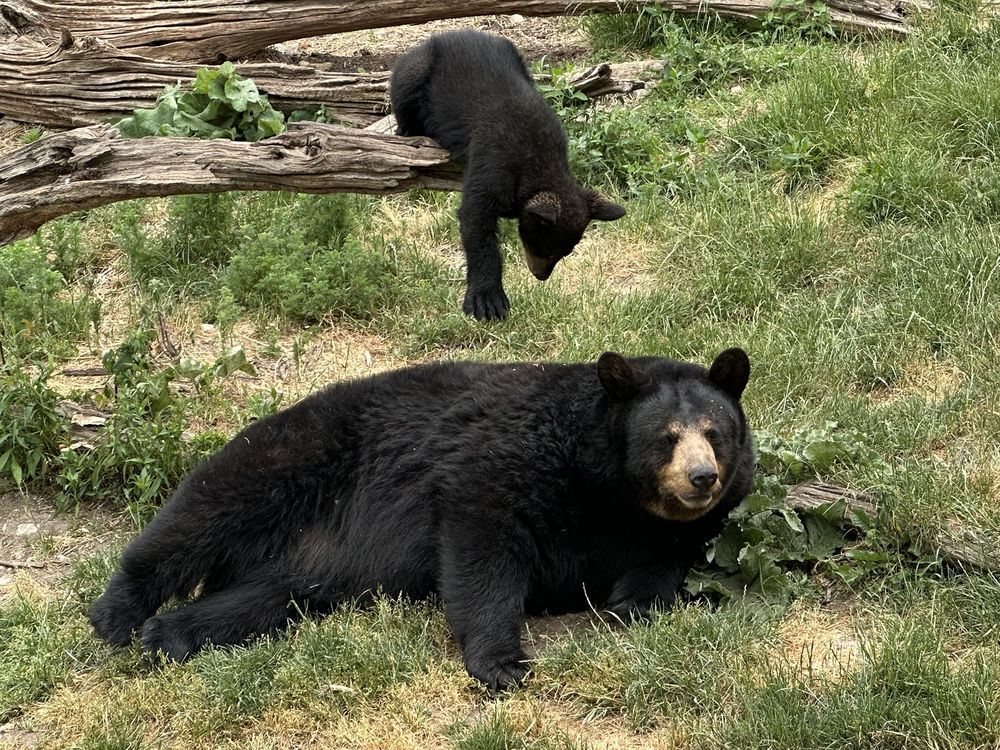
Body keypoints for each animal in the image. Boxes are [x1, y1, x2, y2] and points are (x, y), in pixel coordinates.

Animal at [92, 350, 752, 692]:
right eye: (668, 436)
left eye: (714, 432)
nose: (702, 477)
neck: (609, 487)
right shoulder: (509, 457)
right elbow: (482, 540)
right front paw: (502, 663)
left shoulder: (683, 525)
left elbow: (662, 566)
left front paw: (627, 608)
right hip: (294, 456)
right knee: (201, 514)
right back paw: (118, 614)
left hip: (300, 572)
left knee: (259, 600)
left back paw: (172, 634)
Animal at [388, 30, 624, 320]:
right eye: (545, 247)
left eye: (566, 252)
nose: (541, 276)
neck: (539, 161)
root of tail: (446, 34)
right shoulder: (493, 165)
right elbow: (477, 226)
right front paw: (487, 300)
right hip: (414, 71)